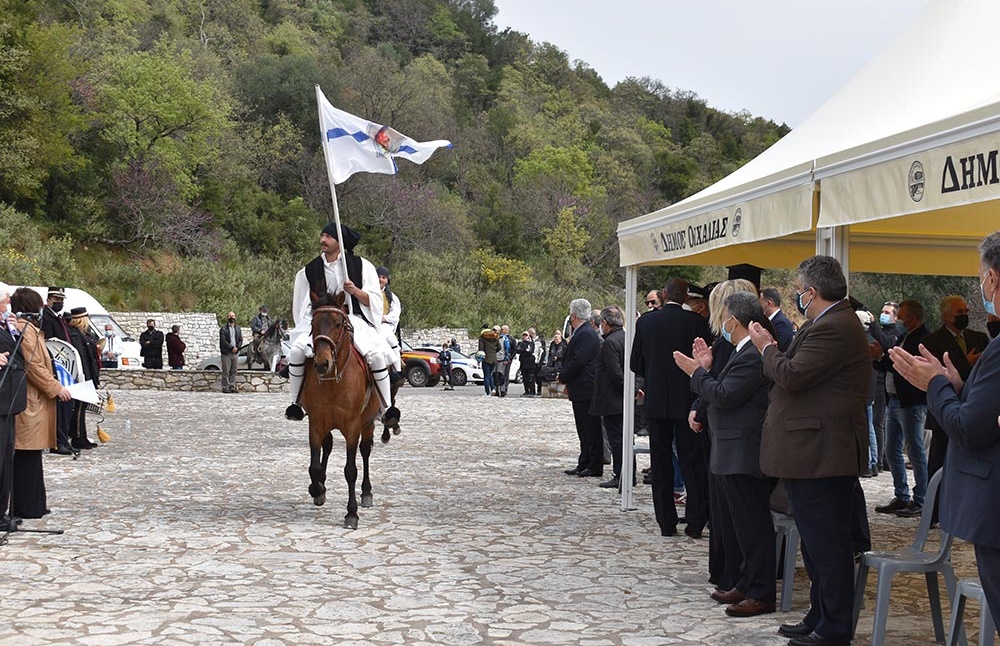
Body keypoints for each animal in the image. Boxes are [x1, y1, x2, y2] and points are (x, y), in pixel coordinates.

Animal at [298, 292, 388, 528]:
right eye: (313, 324)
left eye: (338, 323)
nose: (322, 363)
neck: (333, 381)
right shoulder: (316, 424)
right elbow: (314, 466)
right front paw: (317, 489)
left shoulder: (352, 427)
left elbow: (350, 470)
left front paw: (351, 513)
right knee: (328, 447)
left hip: (367, 423)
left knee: (365, 452)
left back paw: (366, 493)